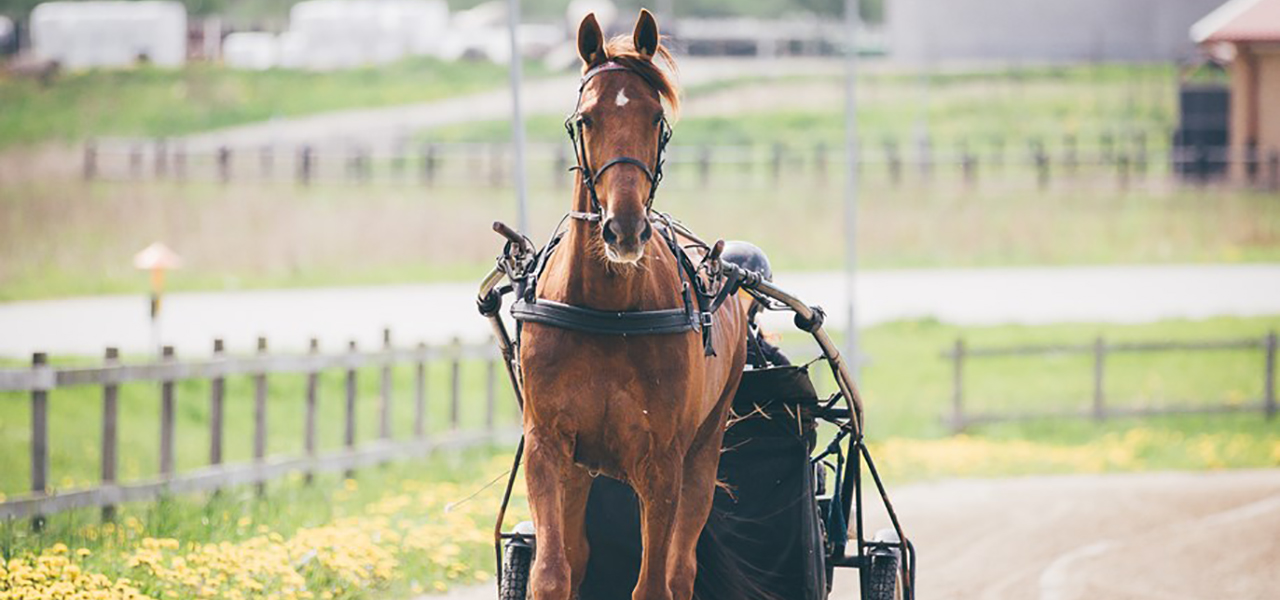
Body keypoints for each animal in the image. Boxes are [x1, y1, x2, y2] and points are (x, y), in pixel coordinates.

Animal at [514, 9, 747, 598]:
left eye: (656, 119)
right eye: (587, 119)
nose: (624, 228)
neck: (605, 310)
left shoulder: (661, 461)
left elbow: (654, 582)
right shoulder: (548, 445)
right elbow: (553, 572)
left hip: (705, 447)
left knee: (681, 566)